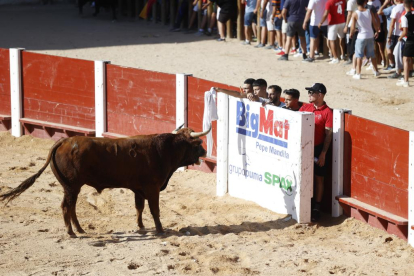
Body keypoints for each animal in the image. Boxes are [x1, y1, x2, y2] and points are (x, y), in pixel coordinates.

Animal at [0, 127, 209, 237]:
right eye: (198, 144)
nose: (205, 152)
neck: (162, 150)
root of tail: (63, 142)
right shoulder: (152, 188)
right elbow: (154, 210)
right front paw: (160, 230)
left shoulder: (139, 189)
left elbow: (139, 208)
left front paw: (141, 227)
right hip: (71, 186)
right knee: (66, 206)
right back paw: (71, 232)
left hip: (73, 187)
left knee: (72, 207)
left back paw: (80, 229)